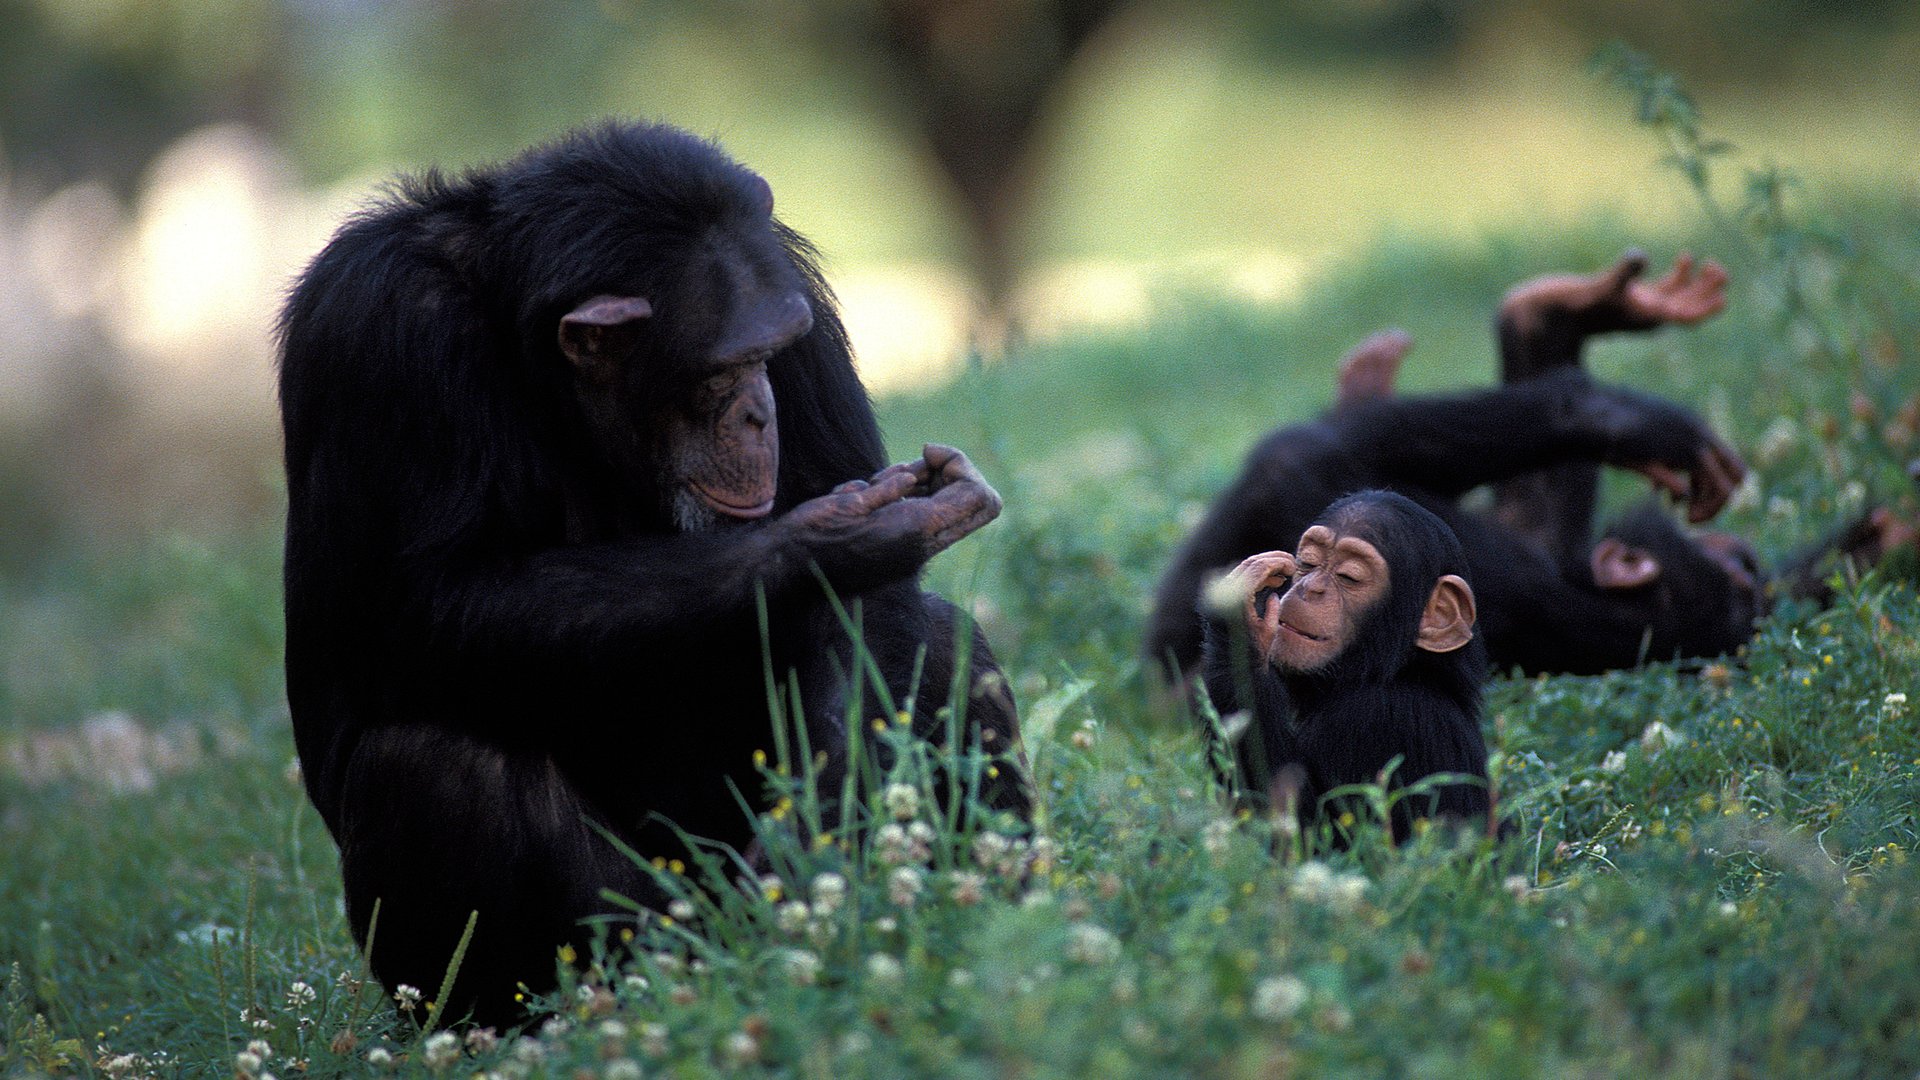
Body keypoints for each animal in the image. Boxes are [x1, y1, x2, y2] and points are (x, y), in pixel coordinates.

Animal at [278, 122, 1029, 1022]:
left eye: (773, 354)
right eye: (719, 372)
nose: (760, 410)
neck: (530, 351)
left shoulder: (793, 289)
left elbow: (875, 615)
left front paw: (820, 862)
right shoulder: (379, 327)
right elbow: (425, 599)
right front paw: (833, 542)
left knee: (943, 642)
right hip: (637, 940)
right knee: (436, 770)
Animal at [1198, 488, 1497, 841]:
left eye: (1348, 577)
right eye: (1308, 563)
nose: (1310, 587)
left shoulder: (1374, 718)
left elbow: (1312, 832)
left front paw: (1237, 620)